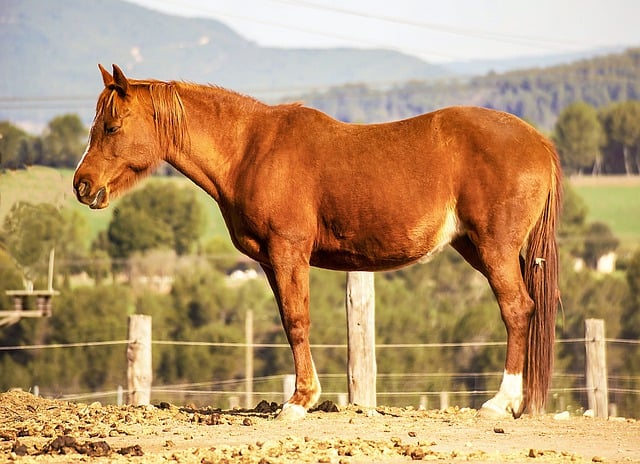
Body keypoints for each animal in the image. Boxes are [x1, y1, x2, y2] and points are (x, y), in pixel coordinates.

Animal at [74, 62, 560, 420]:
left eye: (112, 127)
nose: (81, 185)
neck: (252, 149)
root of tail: (539, 142)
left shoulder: (289, 253)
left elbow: (296, 321)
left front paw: (299, 401)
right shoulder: (270, 262)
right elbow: (290, 322)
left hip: (494, 249)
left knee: (517, 309)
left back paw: (500, 402)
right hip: (479, 248)